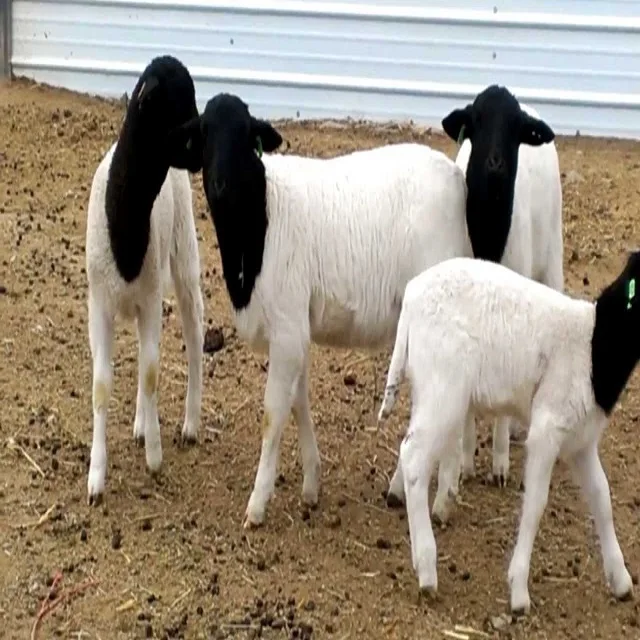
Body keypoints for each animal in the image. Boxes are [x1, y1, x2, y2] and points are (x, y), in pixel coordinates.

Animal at [85, 55, 205, 505]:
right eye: (178, 101)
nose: (204, 147)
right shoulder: (100, 306)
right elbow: (102, 386)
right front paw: (96, 479)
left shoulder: (152, 300)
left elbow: (152, 372)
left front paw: (154, 457)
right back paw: (140, 422)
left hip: (184, 258)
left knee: (194, 336)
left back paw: (189, 424)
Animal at [170, 91, 474, 528]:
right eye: (205, 132)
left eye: (245, 134)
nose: (221, 185)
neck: (261, 216)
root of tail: (454, 178)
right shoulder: (296, 329)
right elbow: (299, 403)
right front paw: (311, 486)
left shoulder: (286, 329)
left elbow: (273, 414)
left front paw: (257, 504)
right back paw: (403, 489)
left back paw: (442, 499)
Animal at [377, 252, 640, 614]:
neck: (593, 345)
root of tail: (412, 298)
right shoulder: (547, 430)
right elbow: (536, 502)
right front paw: (519, 591)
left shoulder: (581, 441)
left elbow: (601, 497)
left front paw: (621, 579)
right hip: (444, 390)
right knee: (415, 459)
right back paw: (428, 571)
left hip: (429, 389)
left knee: (412, 446)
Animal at [385, 85, 564, 513]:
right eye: (476, 120)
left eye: (515, 128)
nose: (495, 163)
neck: (489, 235)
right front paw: (464, 462)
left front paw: (498, 463)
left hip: (552, 254)